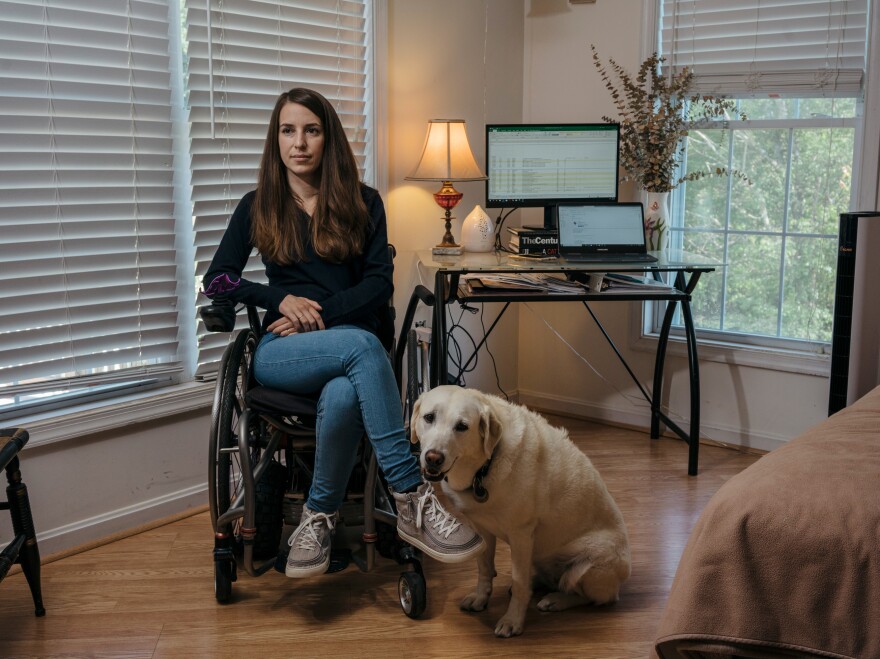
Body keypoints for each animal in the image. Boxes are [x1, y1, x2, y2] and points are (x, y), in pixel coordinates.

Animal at [410, 384, 628, 636]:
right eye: (429, 417)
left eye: (462, 426)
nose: (433, 458)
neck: (483, 469)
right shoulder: (482, 529)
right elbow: (485, 569)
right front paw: (480, 598)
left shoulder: (521, 535)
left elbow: (519, 581)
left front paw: (512, 620)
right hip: (540, 557)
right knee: (549, 579)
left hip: (588, 567)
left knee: (590, 596)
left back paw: (556, 600)